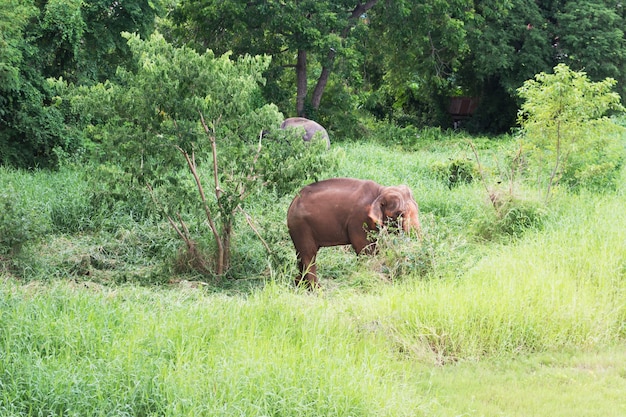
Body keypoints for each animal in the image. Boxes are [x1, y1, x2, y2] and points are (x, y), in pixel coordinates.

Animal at [286, 176, 422, 286]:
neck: (380, 191)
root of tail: (292, 202)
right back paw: (317, 290)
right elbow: (365, 250)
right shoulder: (358, 219)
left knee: (301, 256)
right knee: (309, 255)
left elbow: (375, 247)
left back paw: (300, 286)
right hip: (301, 227)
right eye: (399, 214)